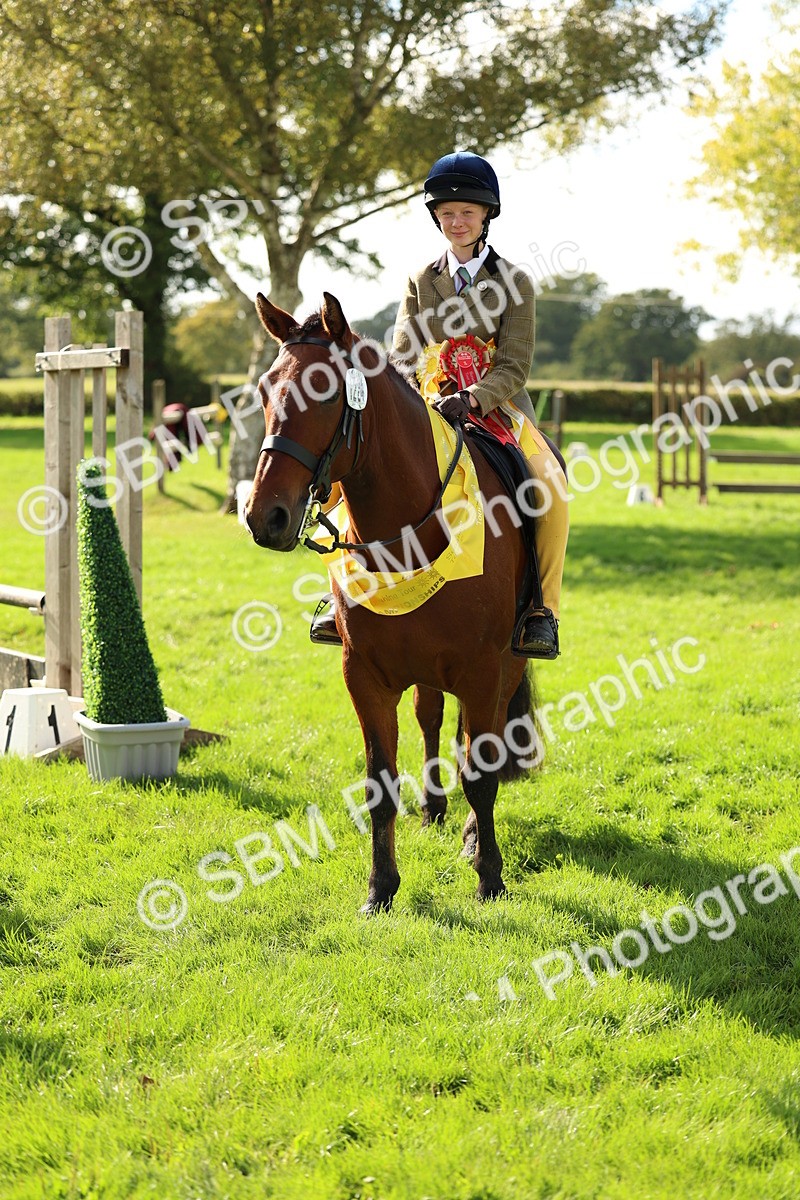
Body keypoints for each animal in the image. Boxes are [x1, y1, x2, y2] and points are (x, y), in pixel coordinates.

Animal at [244, 290, 539, 913]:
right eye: (263, 389)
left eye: (325, 391)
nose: (264, 516)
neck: (408, 532)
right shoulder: (364, 675)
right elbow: (380, 782)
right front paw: (380, 888)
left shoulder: (482, 671)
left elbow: (481, 773)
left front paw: (489, 876)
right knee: (431, 715)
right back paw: (433, 809)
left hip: (507, 663)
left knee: (483, 745)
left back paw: (471, 835)